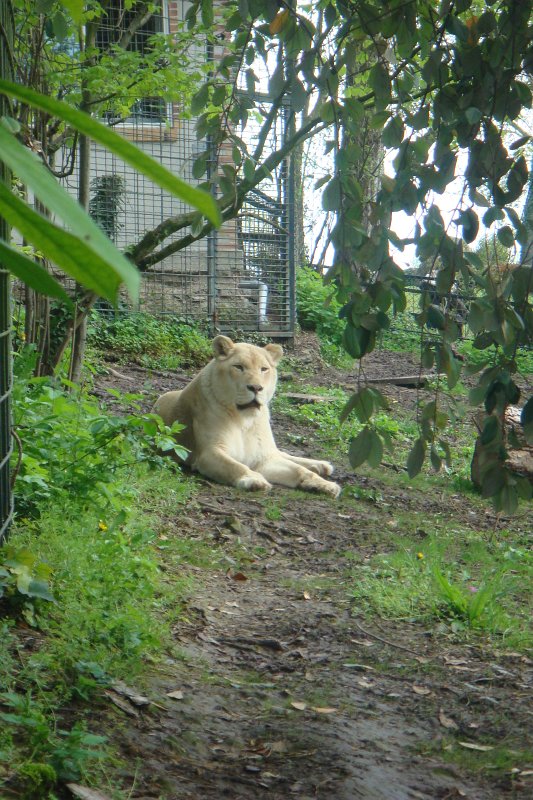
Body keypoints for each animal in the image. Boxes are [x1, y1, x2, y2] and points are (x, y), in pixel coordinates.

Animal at [153, 335, 341, 498]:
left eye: (264, 369)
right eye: (238, 367)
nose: (256, 387)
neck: (244, 420)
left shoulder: (263, 459)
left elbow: (299, 470)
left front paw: (325, 485)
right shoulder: (209, 453)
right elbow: (235, 466)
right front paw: (254, 479)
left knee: (283, 454)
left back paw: (321, 466)